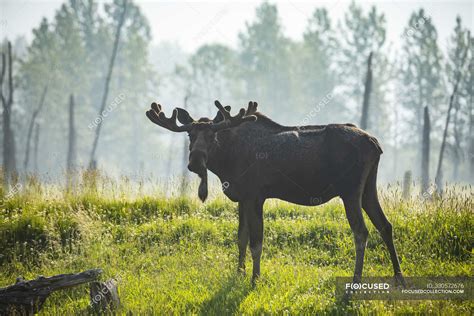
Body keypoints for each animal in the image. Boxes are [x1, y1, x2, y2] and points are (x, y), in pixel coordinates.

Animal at [146, 100, 406, 286]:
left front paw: (254, 280)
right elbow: (241, 239)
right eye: (190, 135)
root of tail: (376, 144)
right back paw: (399, 278)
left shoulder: (255, 196)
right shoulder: (242, 198)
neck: (226, 163)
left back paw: (355, 283)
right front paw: (239, 274)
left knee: (361, 232)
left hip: (350, 191)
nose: (195, 162)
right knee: (385, 225)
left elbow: (256, 243)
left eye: (213, 135)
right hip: (368, 188)